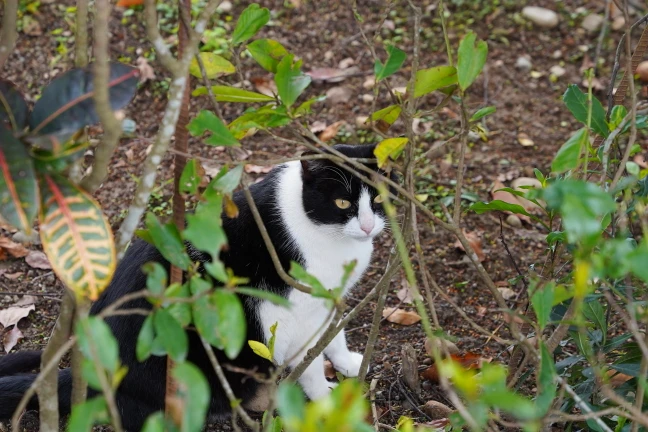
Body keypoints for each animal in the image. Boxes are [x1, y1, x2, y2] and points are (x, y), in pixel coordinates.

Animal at [0, 143, 388, 430]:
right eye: (342, 202)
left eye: (379, 199)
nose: (368, 226)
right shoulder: (300, 310)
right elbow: (310, 361)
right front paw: (328, 404)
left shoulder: (328, 299)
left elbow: (334, 336)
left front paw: (347, 363)